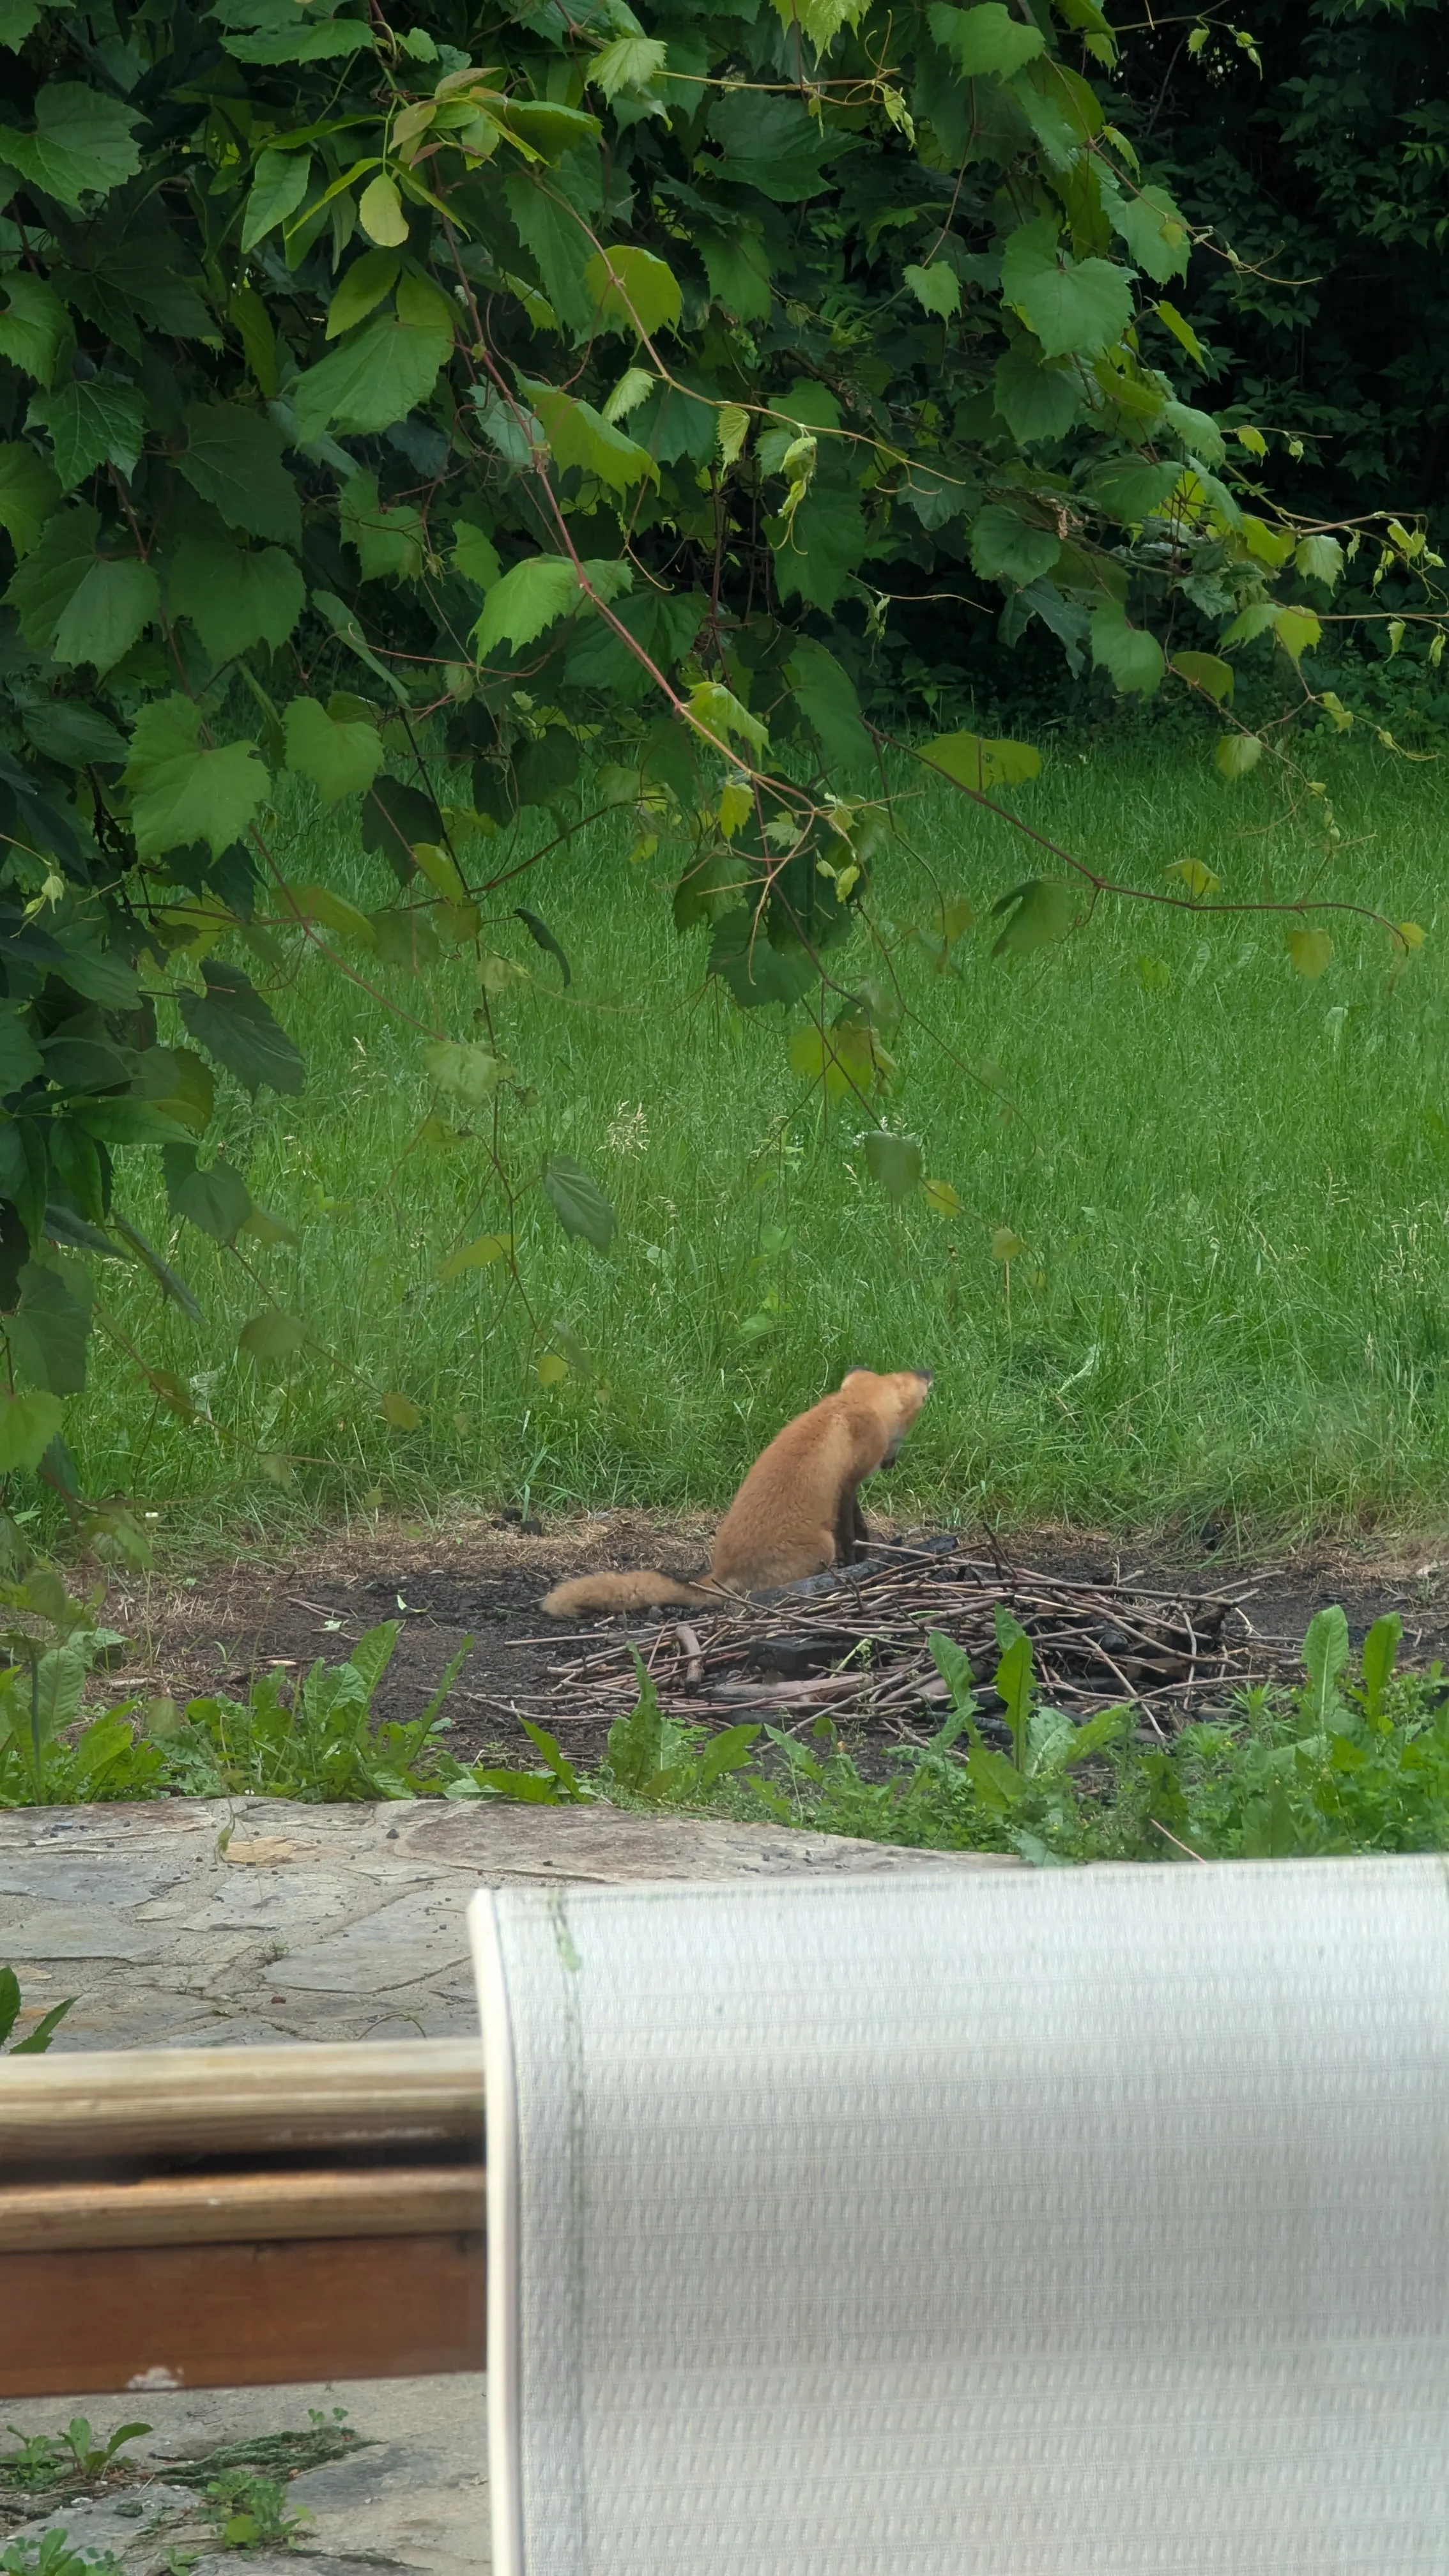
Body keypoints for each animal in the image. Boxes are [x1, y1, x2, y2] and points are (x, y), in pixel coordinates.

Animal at [540, 1366, 933, 1619]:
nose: (891, 1465)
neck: (851, 1404)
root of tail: (719, 1574)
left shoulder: (848, 1490)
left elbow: (860, 1526)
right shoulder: (847, 1486)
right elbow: (852, 1534)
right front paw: (858, 1563)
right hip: (820, 1545)